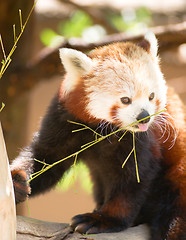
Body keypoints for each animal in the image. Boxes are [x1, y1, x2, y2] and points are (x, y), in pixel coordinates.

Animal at [10, 32, 185, 240]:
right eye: (125, 99)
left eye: (151, 96)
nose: (144, 117)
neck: (100, 129)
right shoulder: (63, 119)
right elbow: (45, 158)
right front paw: (16, 182)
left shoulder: (143, 141)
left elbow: (134, 180)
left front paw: (104, 219)